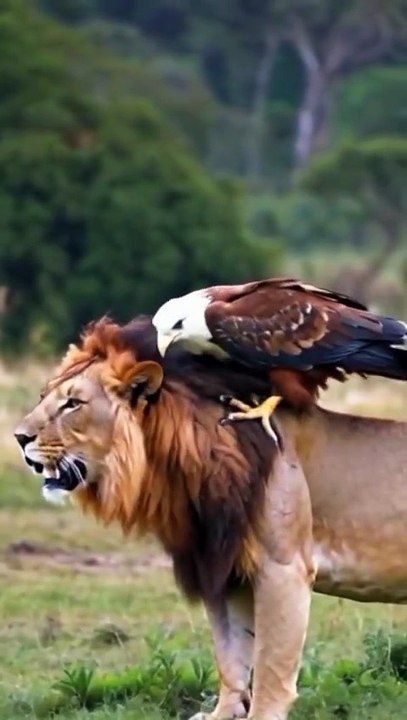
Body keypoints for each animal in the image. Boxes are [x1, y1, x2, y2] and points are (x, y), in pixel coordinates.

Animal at [15, 317, 407, 720]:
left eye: (73, 403)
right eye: (43, 396)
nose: (19, 437)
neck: (181, 471)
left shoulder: (283, 567)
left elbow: (271, 662)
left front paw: (262, 714)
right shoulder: (223, 565)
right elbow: (231, 653)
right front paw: (224, 712)